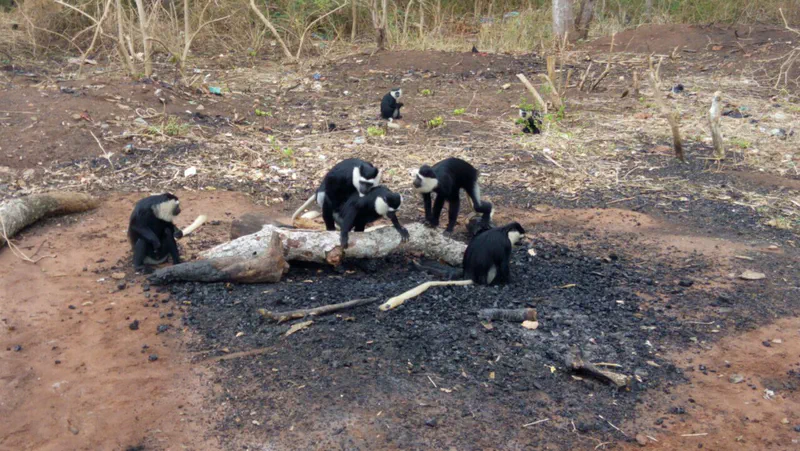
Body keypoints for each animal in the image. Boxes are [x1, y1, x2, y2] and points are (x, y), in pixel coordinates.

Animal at [379, 222, 527, 311]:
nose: (522, 242)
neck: (501, 231)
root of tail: (472, 276)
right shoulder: (505, 245)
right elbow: (504, 266)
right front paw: (509, 282)